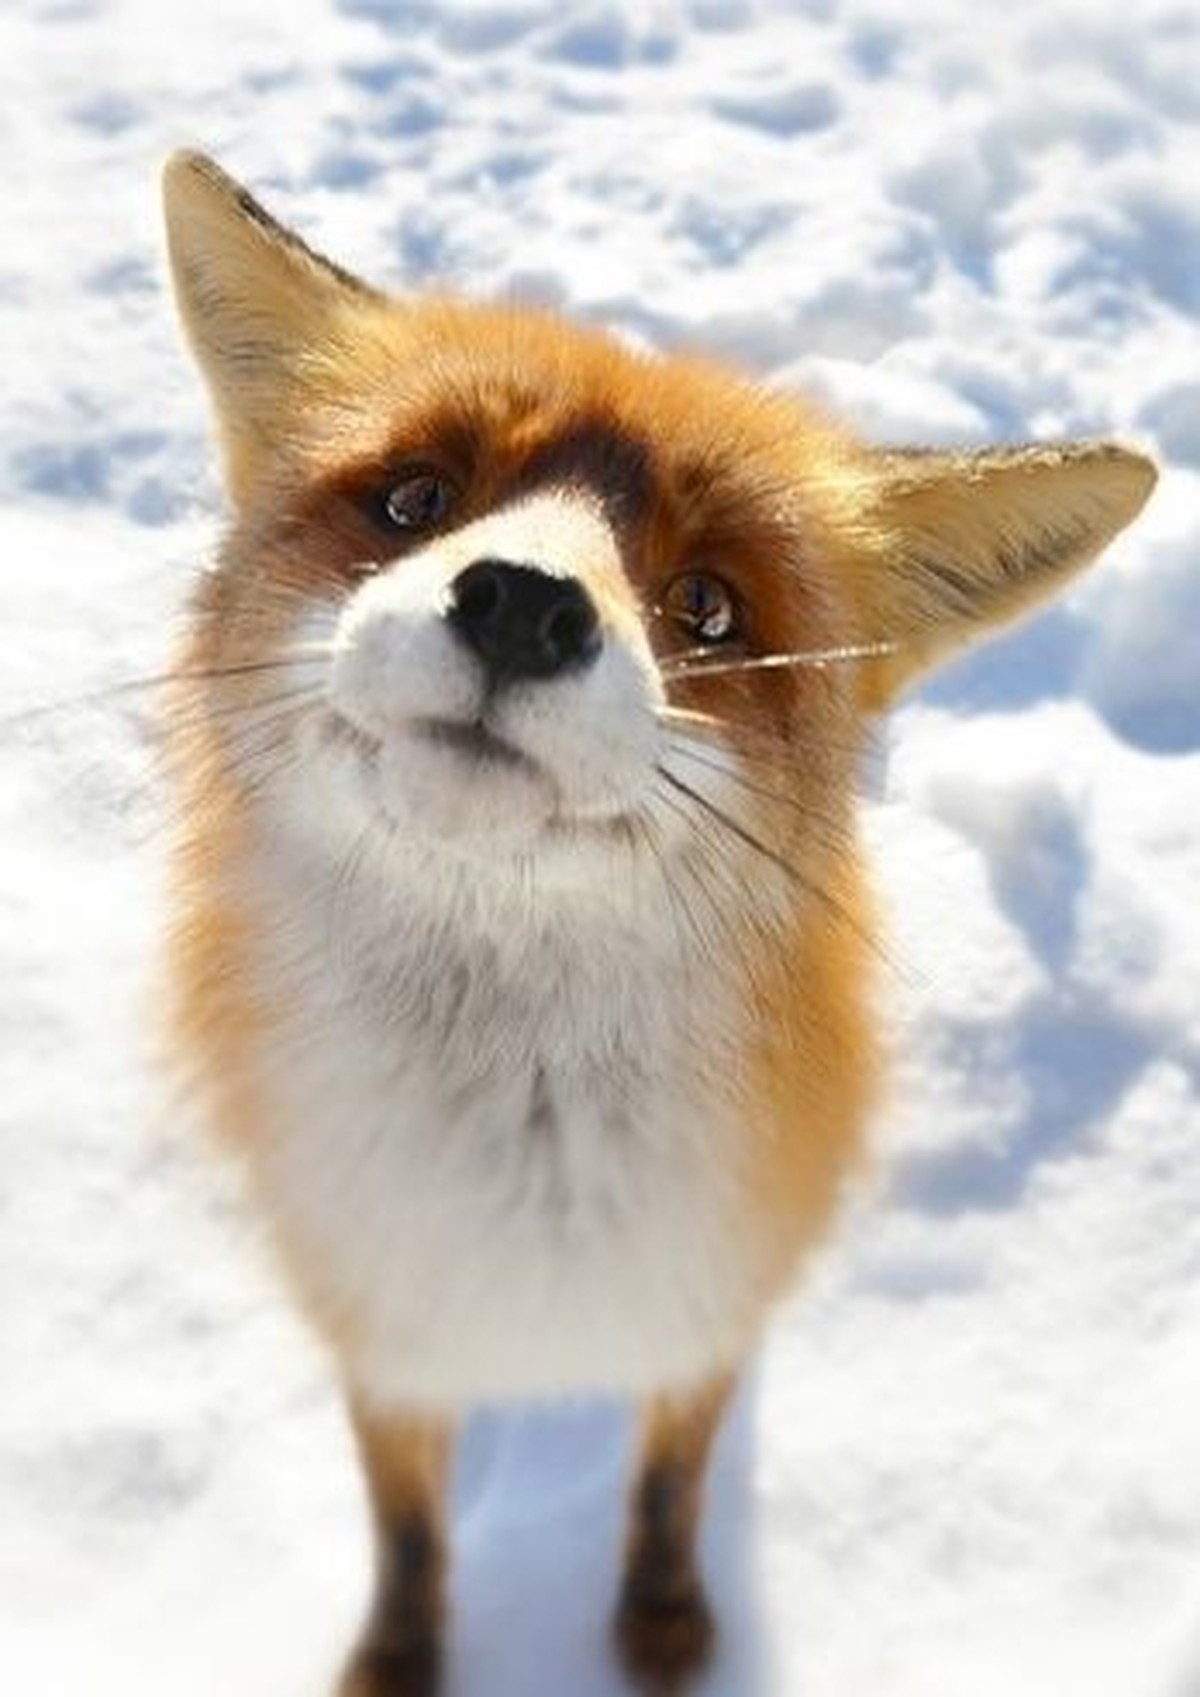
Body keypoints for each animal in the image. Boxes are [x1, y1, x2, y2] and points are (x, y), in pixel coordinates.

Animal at [160, 149, 1155, 1697]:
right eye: (415, 498)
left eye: (709, 605)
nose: (520, 605)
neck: (524, 1180)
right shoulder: (377, 1323)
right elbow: (409, 1530)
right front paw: (400, 1658)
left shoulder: (708, 1305)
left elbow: (671, 1483)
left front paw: (667, 1626)